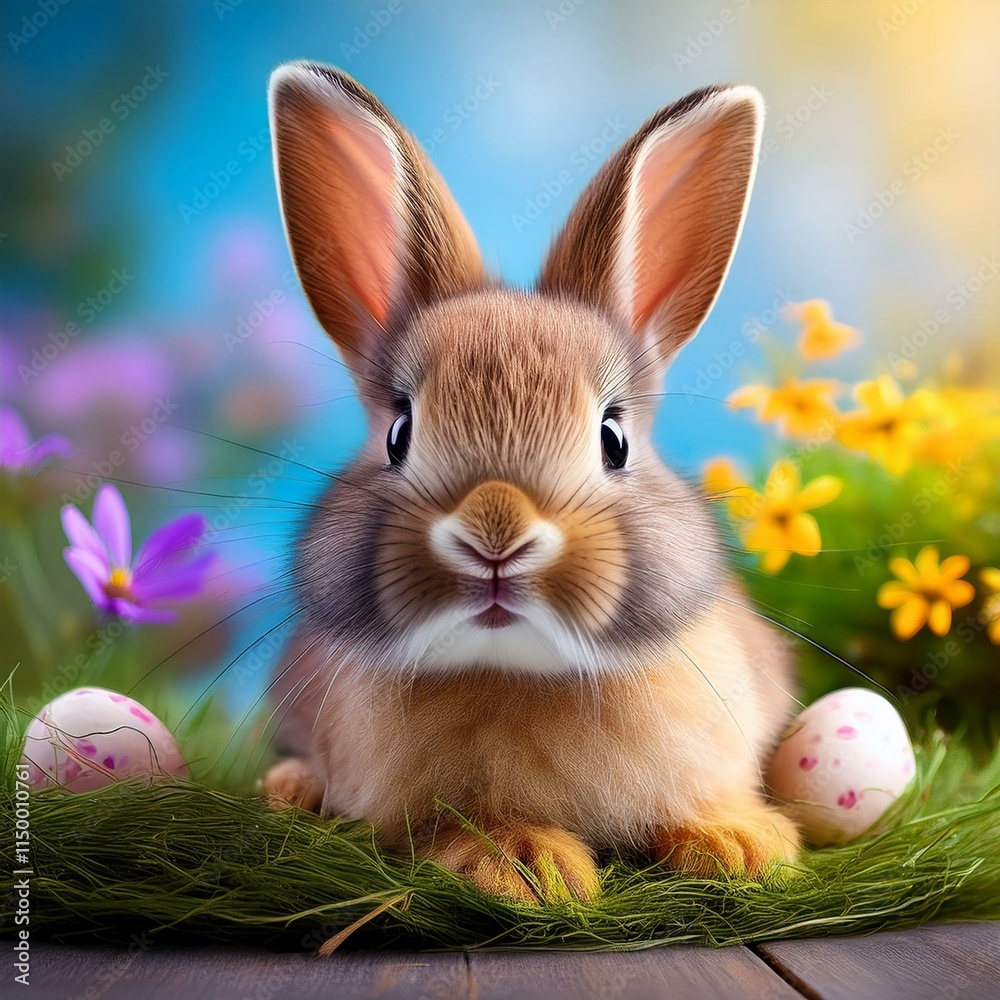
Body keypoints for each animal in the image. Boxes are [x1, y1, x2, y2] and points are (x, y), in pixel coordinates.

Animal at [262, 61, 800, 904]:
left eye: (614, 438)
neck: (519, 672)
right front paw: (524, 865)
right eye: (398, 434)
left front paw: (742, 844)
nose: (496, 534)